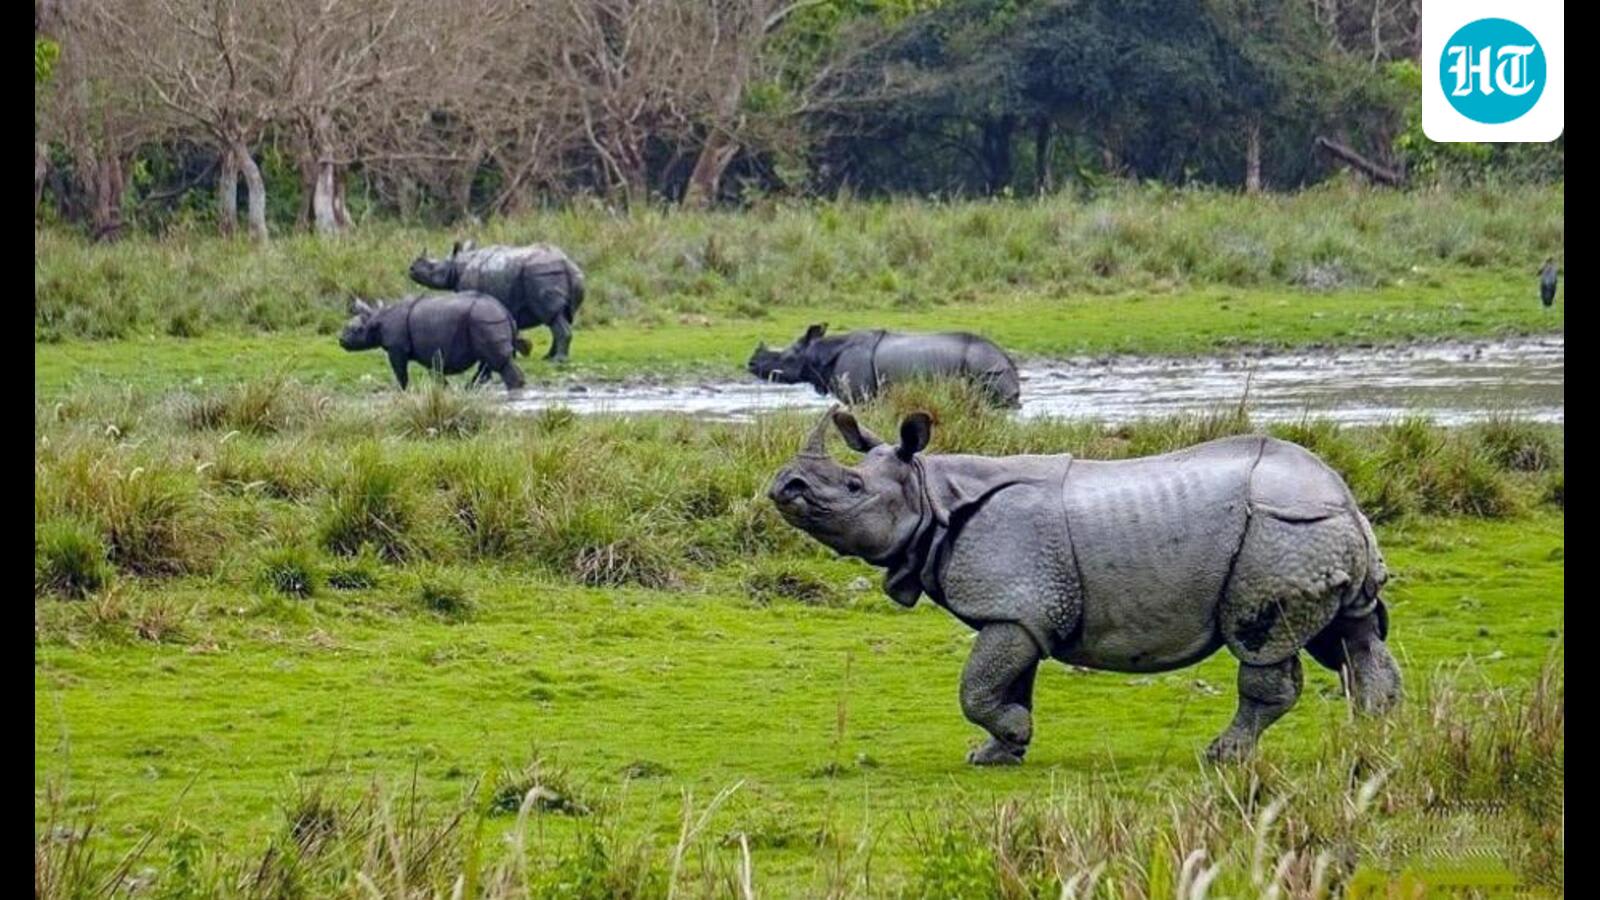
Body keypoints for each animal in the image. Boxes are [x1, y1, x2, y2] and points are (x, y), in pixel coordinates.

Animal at [338, 293, 526, 391]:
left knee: (497, 362)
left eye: (356, 330)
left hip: (486, 319)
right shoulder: (429, 350)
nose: (341, 340)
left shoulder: (396, 347)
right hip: (486, 321)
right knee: (487, 362)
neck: (377, 319)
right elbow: (436, 372)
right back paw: (470, 389)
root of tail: (505, 311)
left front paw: (402, 391)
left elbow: (400, 372)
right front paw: (445, 390)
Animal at [409, 241, 586, 361]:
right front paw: (520, 350)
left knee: (552, 317)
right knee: (560, 317)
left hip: (543, 274)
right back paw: (548, 357)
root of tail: (567, 264)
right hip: (566, 275)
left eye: (432, 267)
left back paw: (558, 361)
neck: (457, 265)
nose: (411, 269)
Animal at [747, 324, 1021, 408]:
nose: (751, 363)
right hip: (990, 367)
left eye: (785, 358)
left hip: (987, 369)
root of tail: (1006, 359)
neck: (818, 353)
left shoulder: (861, 397)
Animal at [768, 408, 1400, 765]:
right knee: (1352, 637)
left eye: (851, 488)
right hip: (1311, 535)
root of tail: (1345, 498)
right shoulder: (1021, 610)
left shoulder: (1015, 606)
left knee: (1264, 646)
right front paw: (998, 753)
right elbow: (1007, 683)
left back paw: (1223, 757)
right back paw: (1373, 739)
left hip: (1280, 532)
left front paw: (1008, 737)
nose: (784, 485)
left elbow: (976, 688)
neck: (931, 494)